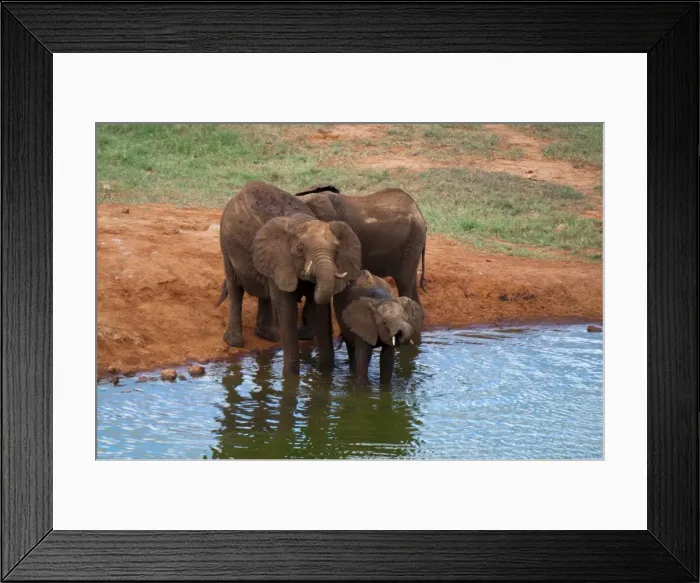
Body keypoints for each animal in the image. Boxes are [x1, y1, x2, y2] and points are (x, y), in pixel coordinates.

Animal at [216, 181, 362, 375]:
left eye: (337, 251)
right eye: (300, 249)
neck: (300, 222)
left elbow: (321, 310)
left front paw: (324, 374)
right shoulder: (281, 258)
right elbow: (287, 308)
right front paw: (290, 376)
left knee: (264, 292)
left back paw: (268, 336)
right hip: (225, 243)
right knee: (235, 287)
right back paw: (234, 341)